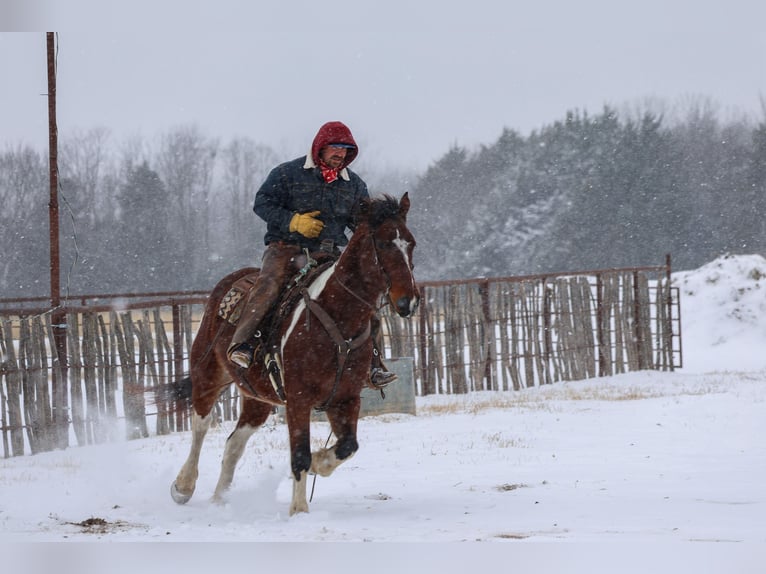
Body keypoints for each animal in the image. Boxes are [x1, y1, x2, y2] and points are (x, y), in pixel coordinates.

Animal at [167, 193, 419, 515]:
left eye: (411, 243)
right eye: (385, 243)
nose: (408, 302)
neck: (339, 318)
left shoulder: (345, 399)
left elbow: (347, 446)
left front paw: (319, 463)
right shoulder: (298, 401)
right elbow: (299, 453)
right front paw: (299, 510)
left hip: (257, 399)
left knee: (233, 445)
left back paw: (220, 500)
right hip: (208, 374)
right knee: (201, 424)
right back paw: (183, 487)